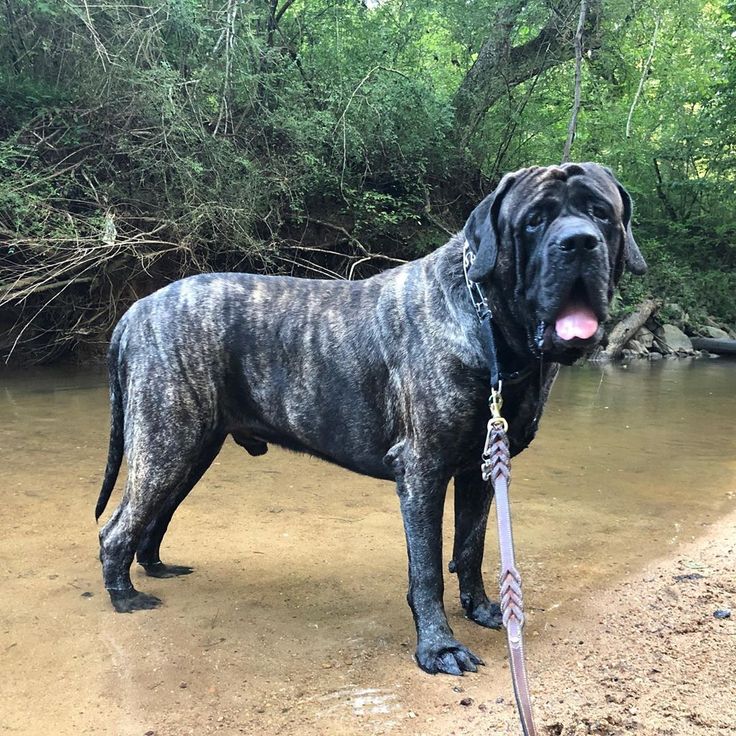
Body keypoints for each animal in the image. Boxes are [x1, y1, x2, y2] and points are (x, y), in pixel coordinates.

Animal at [96, 164, 644, 676]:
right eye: (534, 220)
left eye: (601, 213)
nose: (579, 242)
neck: (487, 321)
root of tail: (135, 311)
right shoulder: (422, 471)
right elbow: (426, 568)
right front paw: (438, 647)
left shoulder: (479, 470)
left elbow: (470, 547)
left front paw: (486, 610)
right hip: (168, 442)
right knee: (117, 527)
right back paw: (125, 597)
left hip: (190, 448)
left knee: (153, 518)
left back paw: (156, 568)